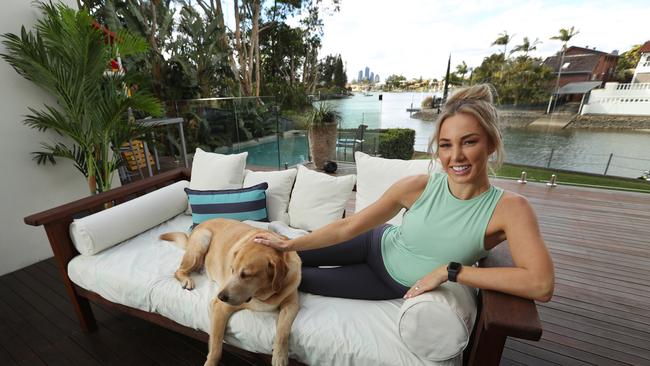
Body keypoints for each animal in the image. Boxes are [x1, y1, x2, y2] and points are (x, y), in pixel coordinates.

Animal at [158, 217, 300, 366]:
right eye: (232, 269)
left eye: (246, 275)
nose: (220, 296)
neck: (263, 294)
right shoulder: (220, 308)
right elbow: (216, 347)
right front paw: (210, 362)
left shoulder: (292, 304)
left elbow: (283, 330)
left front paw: (280, 356)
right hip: (202, 242)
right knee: (178, 270)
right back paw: (186, 279)